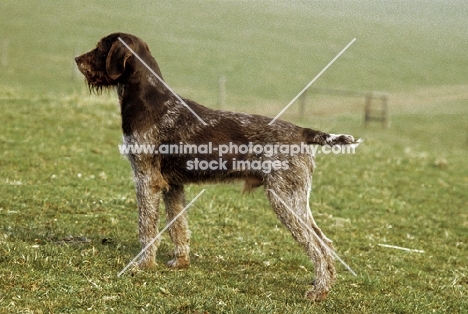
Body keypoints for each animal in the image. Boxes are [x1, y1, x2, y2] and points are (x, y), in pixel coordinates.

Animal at [75, 32, 358, 302]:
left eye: (101, 47)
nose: (77, 59)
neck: (148, 100)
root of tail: (301, 131)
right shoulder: (172, 186)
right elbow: (178, 226)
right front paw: (180, 262)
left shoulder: (146, 179)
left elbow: (147, 228)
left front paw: (143, 265)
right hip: (297, 200)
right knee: (325, 242)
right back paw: (324, 284)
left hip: (284, 199)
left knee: (317, 246)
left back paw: (318, 291)